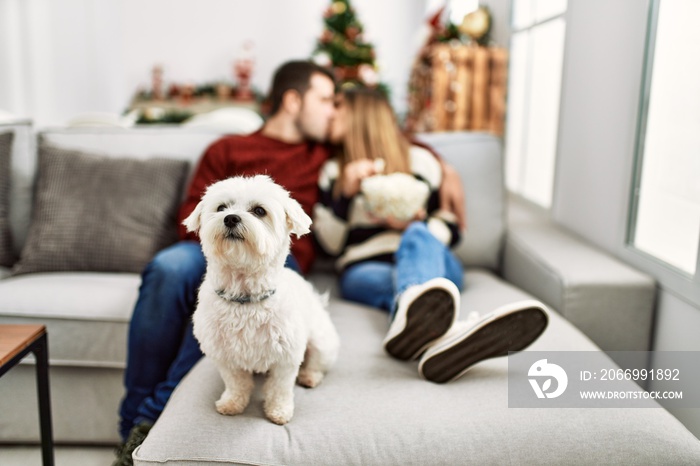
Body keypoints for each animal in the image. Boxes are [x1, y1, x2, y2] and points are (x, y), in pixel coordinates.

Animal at [185, 175, 340, 426]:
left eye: (259, 211)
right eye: (221, 208)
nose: (230, 218)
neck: (244, 296)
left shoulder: (286, 356)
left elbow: (280, 388)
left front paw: (279, 411)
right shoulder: (224, 355)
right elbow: (236, 382)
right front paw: (232, 403)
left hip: (321, 342)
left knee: (317, 363)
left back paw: (309, 377)